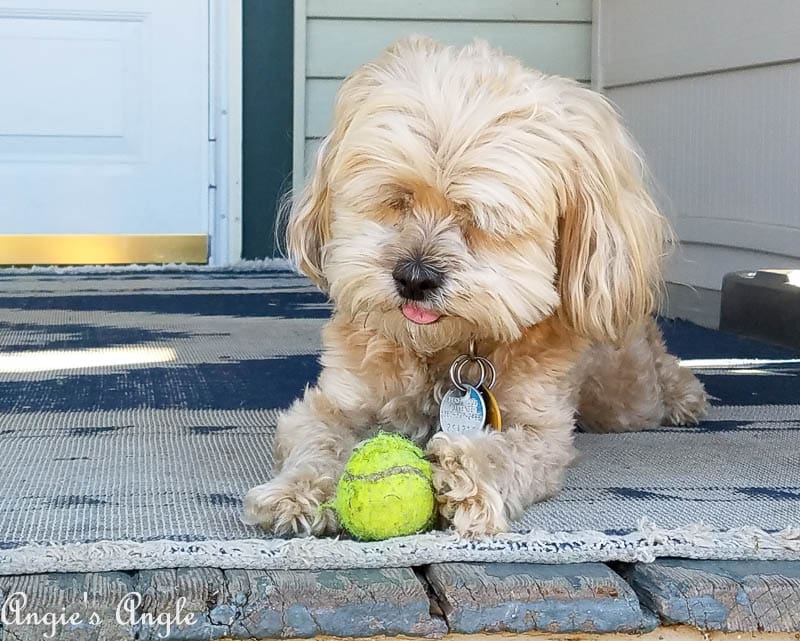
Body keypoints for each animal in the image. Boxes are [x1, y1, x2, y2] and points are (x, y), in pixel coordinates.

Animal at [242, 37, 708, 536]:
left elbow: (509, 453)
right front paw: (296, 491)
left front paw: (466, 474)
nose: (414, 278)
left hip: (626, 393)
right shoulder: (334, 402)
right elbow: (318, 440)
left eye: (481, 221)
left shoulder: (540, 428)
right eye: (397, 200)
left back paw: (685, 396)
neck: (445, 349)